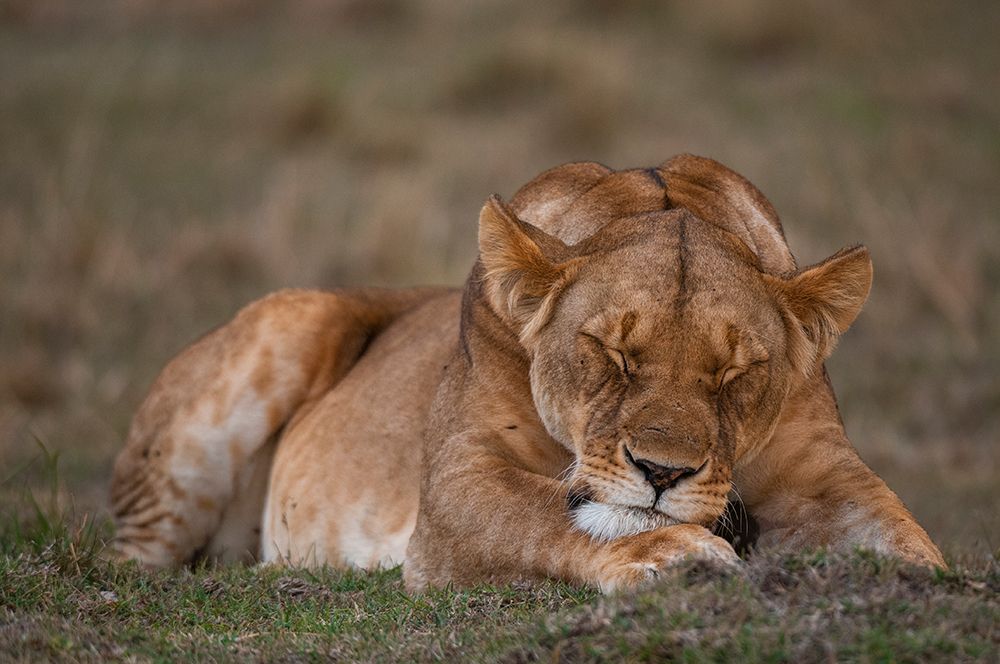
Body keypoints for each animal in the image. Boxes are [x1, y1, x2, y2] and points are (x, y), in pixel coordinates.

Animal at [110, 155, 945, 591]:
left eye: (734, 372)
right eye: (611, 352)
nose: (663, 473)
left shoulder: (824, 472)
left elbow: (905, 537)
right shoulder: (455, 486)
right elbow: (543, 512)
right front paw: (672, 552)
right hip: (284, 327)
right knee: (131, 558)